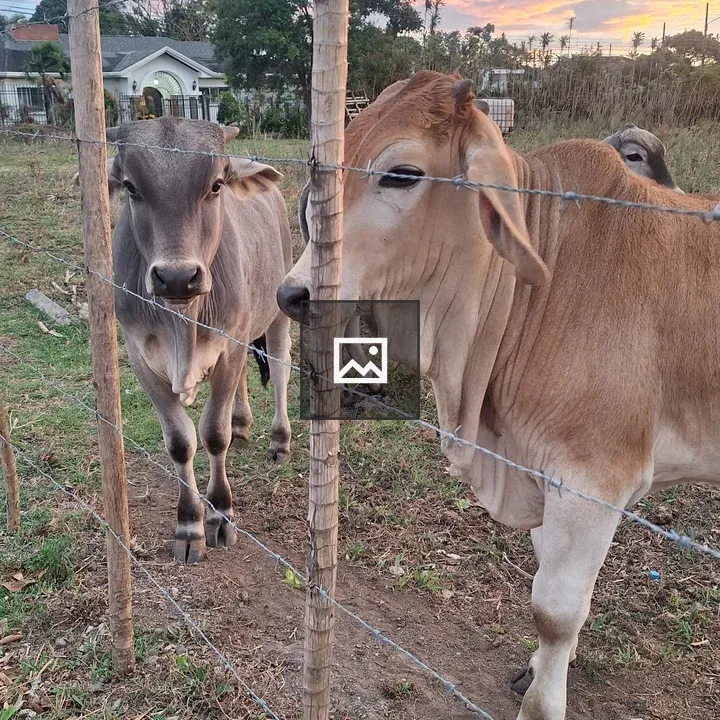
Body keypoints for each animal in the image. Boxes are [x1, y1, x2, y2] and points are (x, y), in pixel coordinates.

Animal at [102, 117, 292, 564]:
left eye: (216, 185)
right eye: (131, 187)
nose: (176, 277)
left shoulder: (231, 343)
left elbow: (213, 434)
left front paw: (221, 514)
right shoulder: (139, 355)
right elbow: (180, 442)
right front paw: (189, 524)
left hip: (276, 313)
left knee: (278, 371)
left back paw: (279, 440)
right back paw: (242, 423)